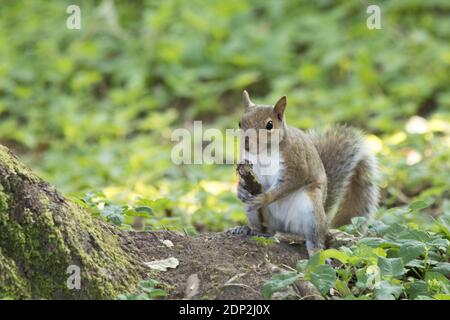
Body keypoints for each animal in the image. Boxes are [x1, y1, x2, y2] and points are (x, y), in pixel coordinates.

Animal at [229, 91, 380, 256]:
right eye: (240, 123)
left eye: (269, 125)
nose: (246, 143)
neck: (264, 152)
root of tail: (285, 228)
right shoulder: (249, 164)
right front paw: (241, 190)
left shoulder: (297, 162)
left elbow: (291, 182)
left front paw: (263, 198)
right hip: (256, 215)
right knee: (267, 231)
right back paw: (246, 229)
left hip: (311, 210)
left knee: (315, 238)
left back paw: (315, 252)